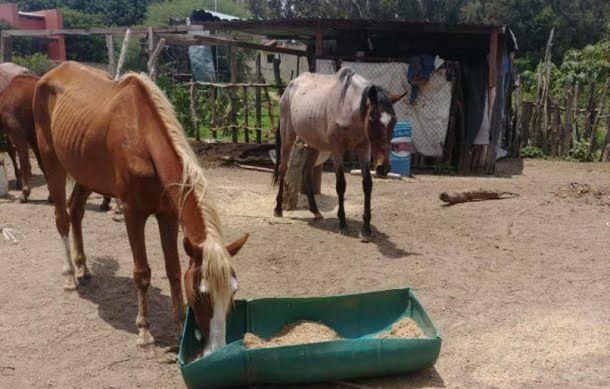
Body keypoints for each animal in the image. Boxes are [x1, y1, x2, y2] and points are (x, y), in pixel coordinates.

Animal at [32, 62, 247, 354]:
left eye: (233, 291)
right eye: (201, 293)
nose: (216, 349)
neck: (143, 137)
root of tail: (51, 74)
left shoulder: (168, 215)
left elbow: (173, 269)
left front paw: (179, 327)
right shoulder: (133, 213)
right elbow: (142, 272)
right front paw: (144, 332)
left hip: (86, 174)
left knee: (75, 211)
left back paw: (83, 268)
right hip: (53, 164)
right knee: (62, 219)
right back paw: (69, 276)